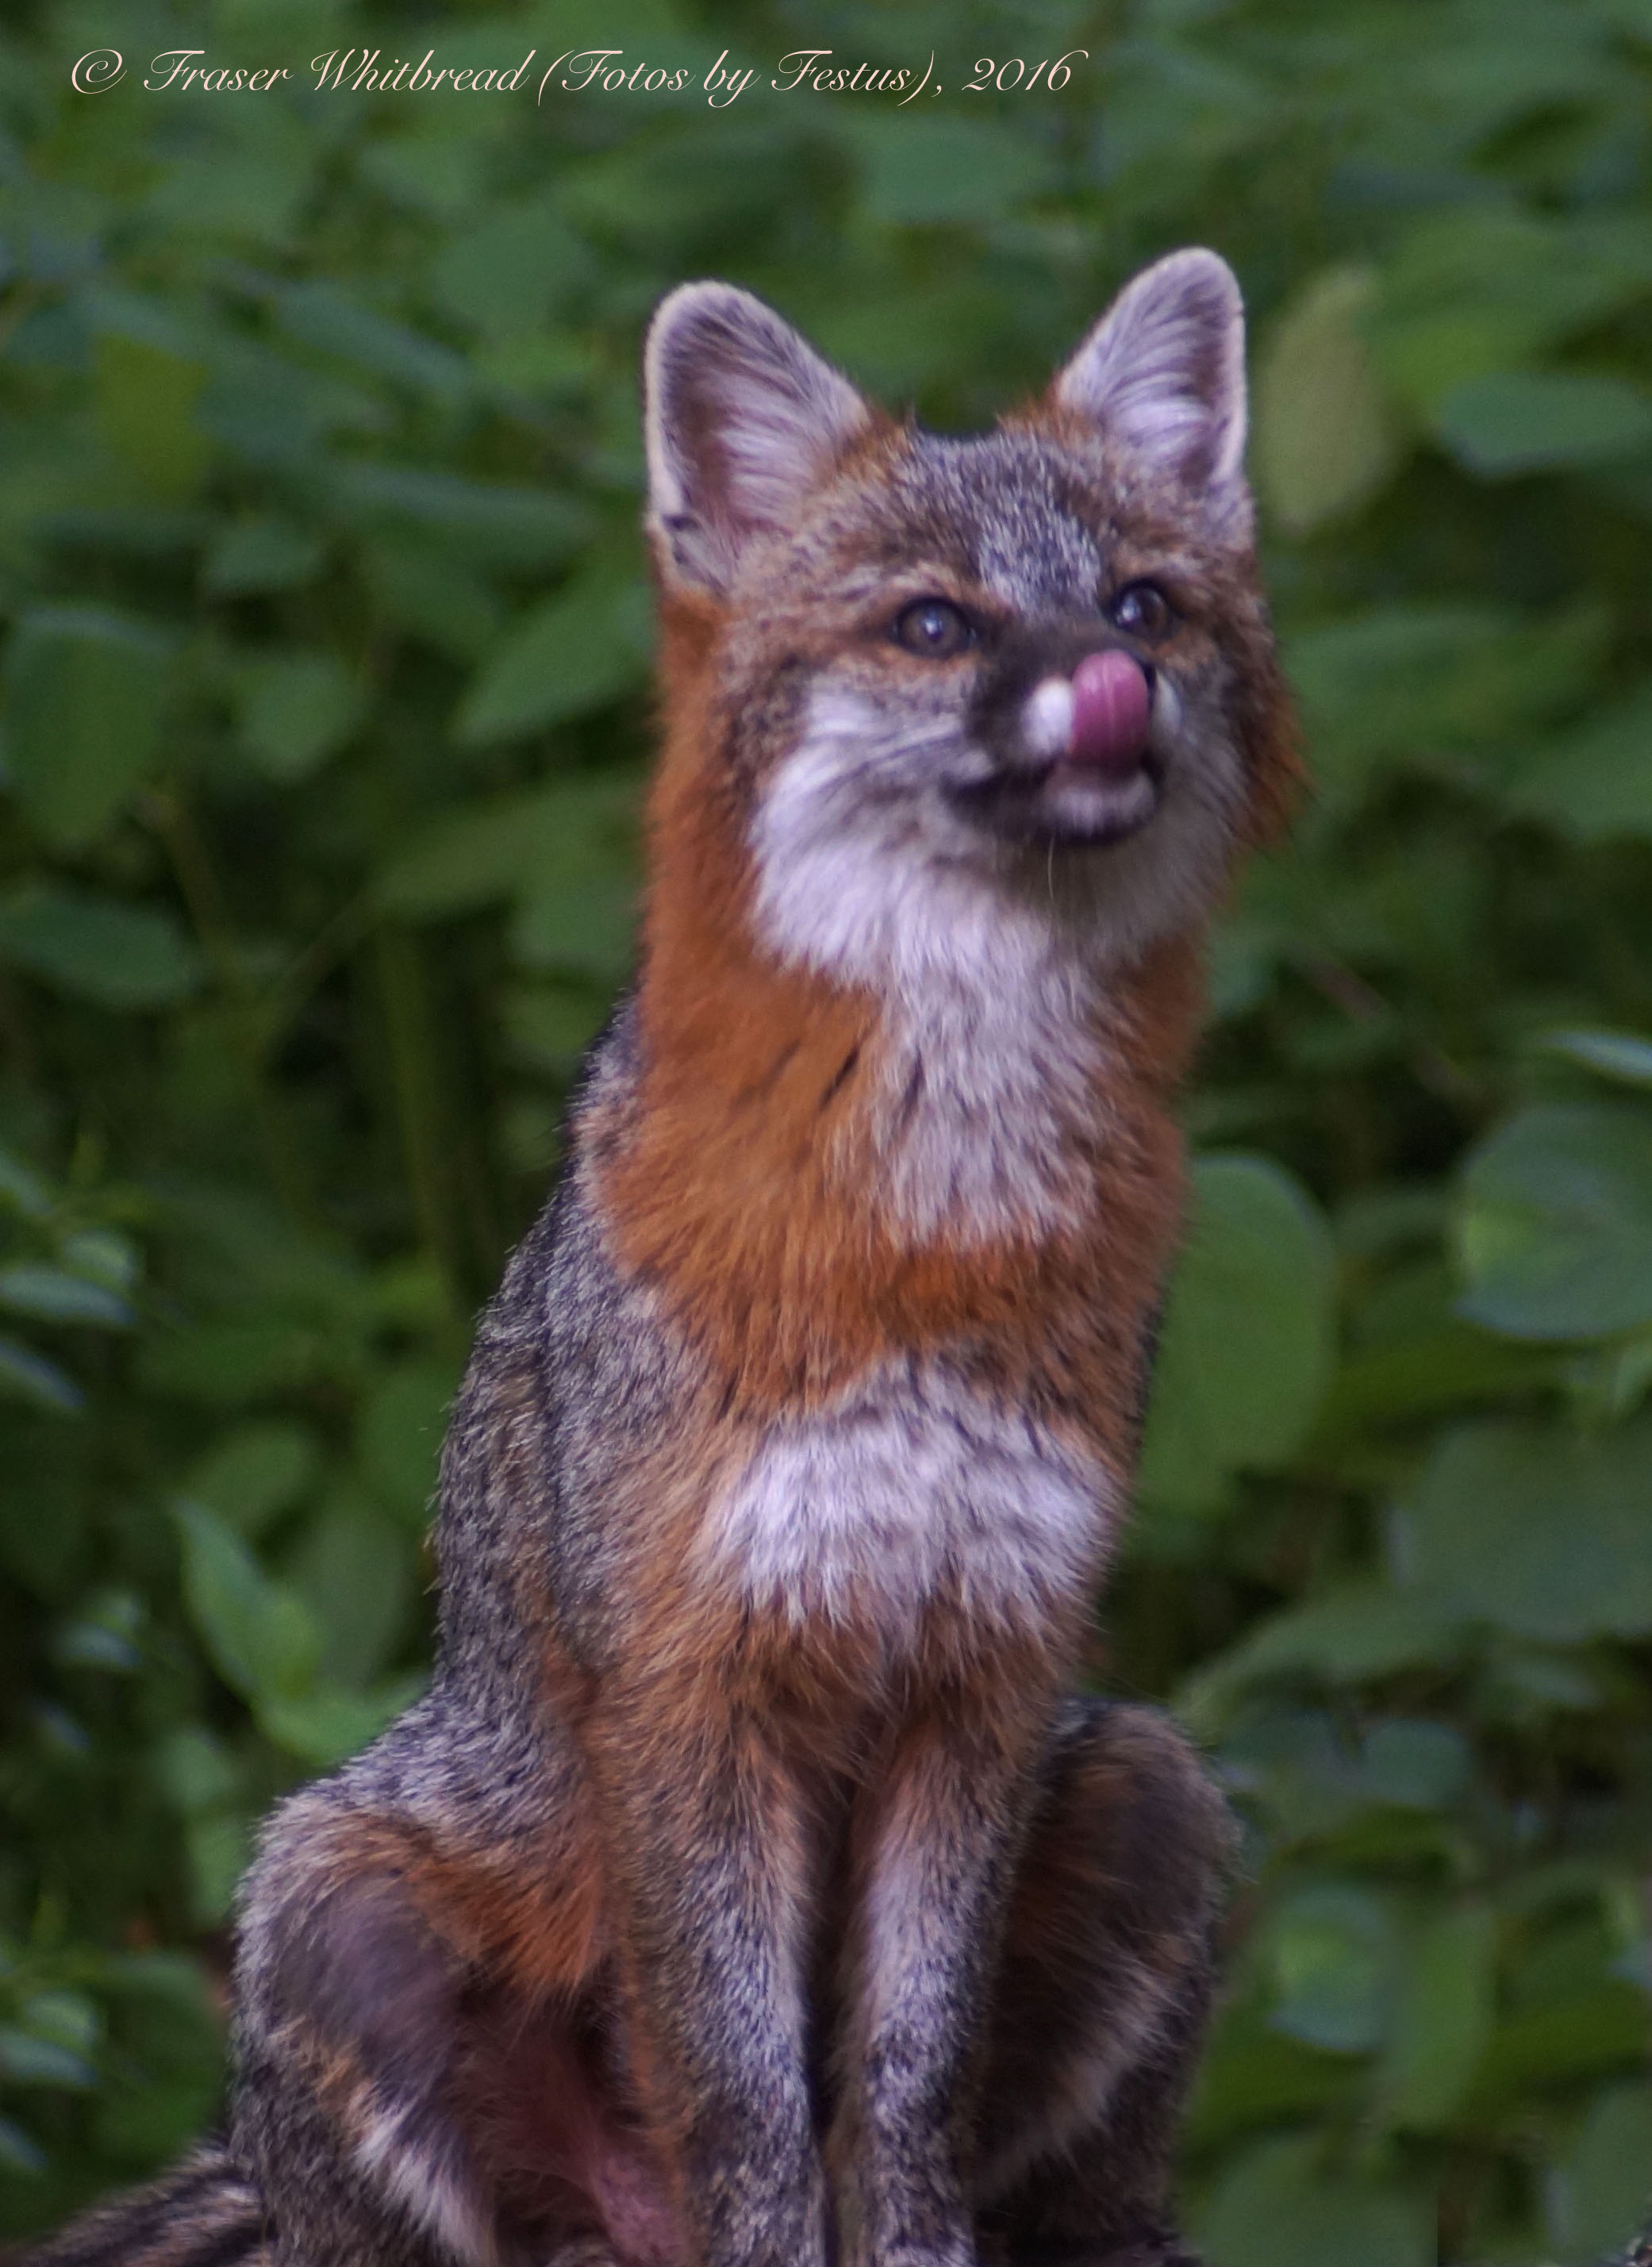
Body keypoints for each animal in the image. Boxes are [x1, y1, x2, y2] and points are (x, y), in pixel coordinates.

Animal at [23, 247, 1297, 2267]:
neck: (933, 1234)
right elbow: (750, 2106)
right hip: (328, 1895)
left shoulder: (986, 1673)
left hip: (1147, 1788)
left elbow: (903, 2089)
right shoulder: (696, 1687)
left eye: (1141, 603)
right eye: (932, 625)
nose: (1113, 686)